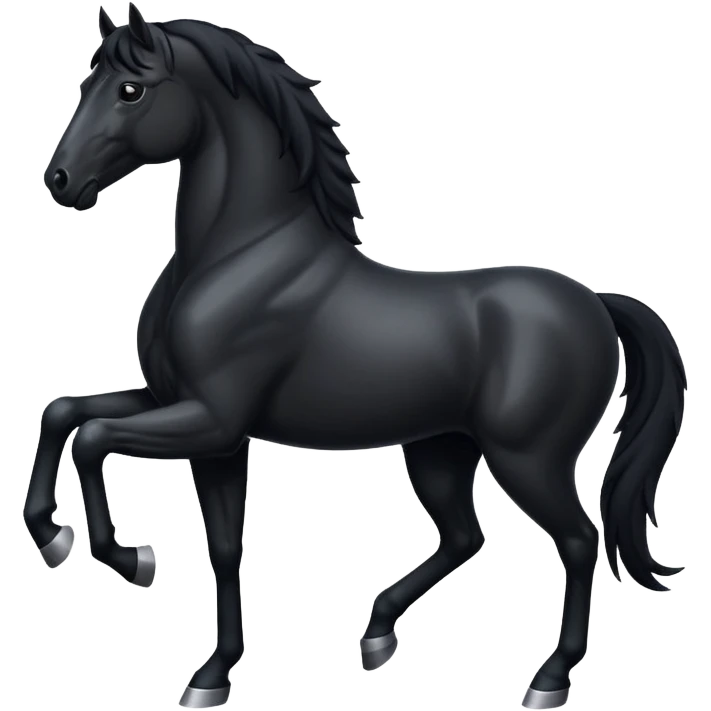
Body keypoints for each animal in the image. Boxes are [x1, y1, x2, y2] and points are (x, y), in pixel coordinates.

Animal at [30, 5, 687, 710]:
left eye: (131, 90)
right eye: (86, 85)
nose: (59, 181)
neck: (238, 255)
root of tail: (595, 302)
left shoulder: (211, 420)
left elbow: (93, 438)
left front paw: (127, 558)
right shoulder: (196, 422)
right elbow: (76, 422)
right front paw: (209, 670)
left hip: (530, 459)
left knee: (578, 541)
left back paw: (549, 678)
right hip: (440, 450)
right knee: (465, 536)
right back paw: (376, 635)